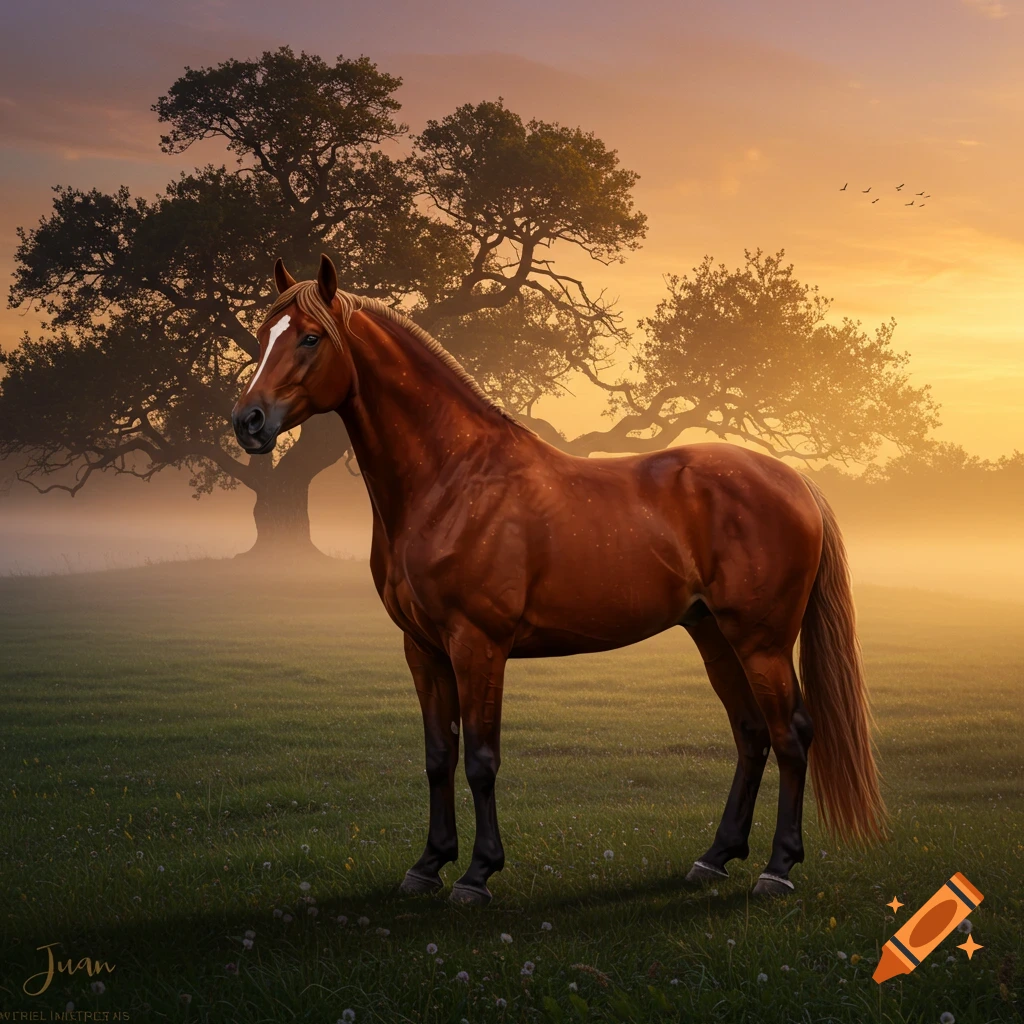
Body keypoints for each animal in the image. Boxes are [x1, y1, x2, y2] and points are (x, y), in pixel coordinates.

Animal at [231, 254, 888, 905]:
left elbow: (481, 759)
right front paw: (427, 865)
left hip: (762, 642)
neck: (453, 479)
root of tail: (795, 481)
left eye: (310, 338)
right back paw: (714, 857)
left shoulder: (478, 645)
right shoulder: (422, 648)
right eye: (263, 335)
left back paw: (778, 868)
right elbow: (439, 756)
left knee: (791, 734)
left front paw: (477, 874)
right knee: (751, 734)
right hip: (714, 635)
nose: (248, 421)